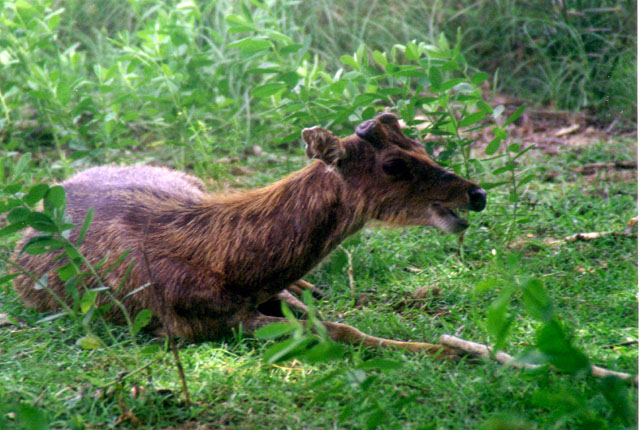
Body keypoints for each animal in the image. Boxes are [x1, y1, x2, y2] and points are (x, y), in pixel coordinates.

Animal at [13, 112, 484, 358]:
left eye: (421, 146)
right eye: (393, 164)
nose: (476, 194)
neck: (233, 264)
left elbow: (331, 322)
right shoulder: (199, 321)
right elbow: (334, 331)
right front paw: (448, 351)